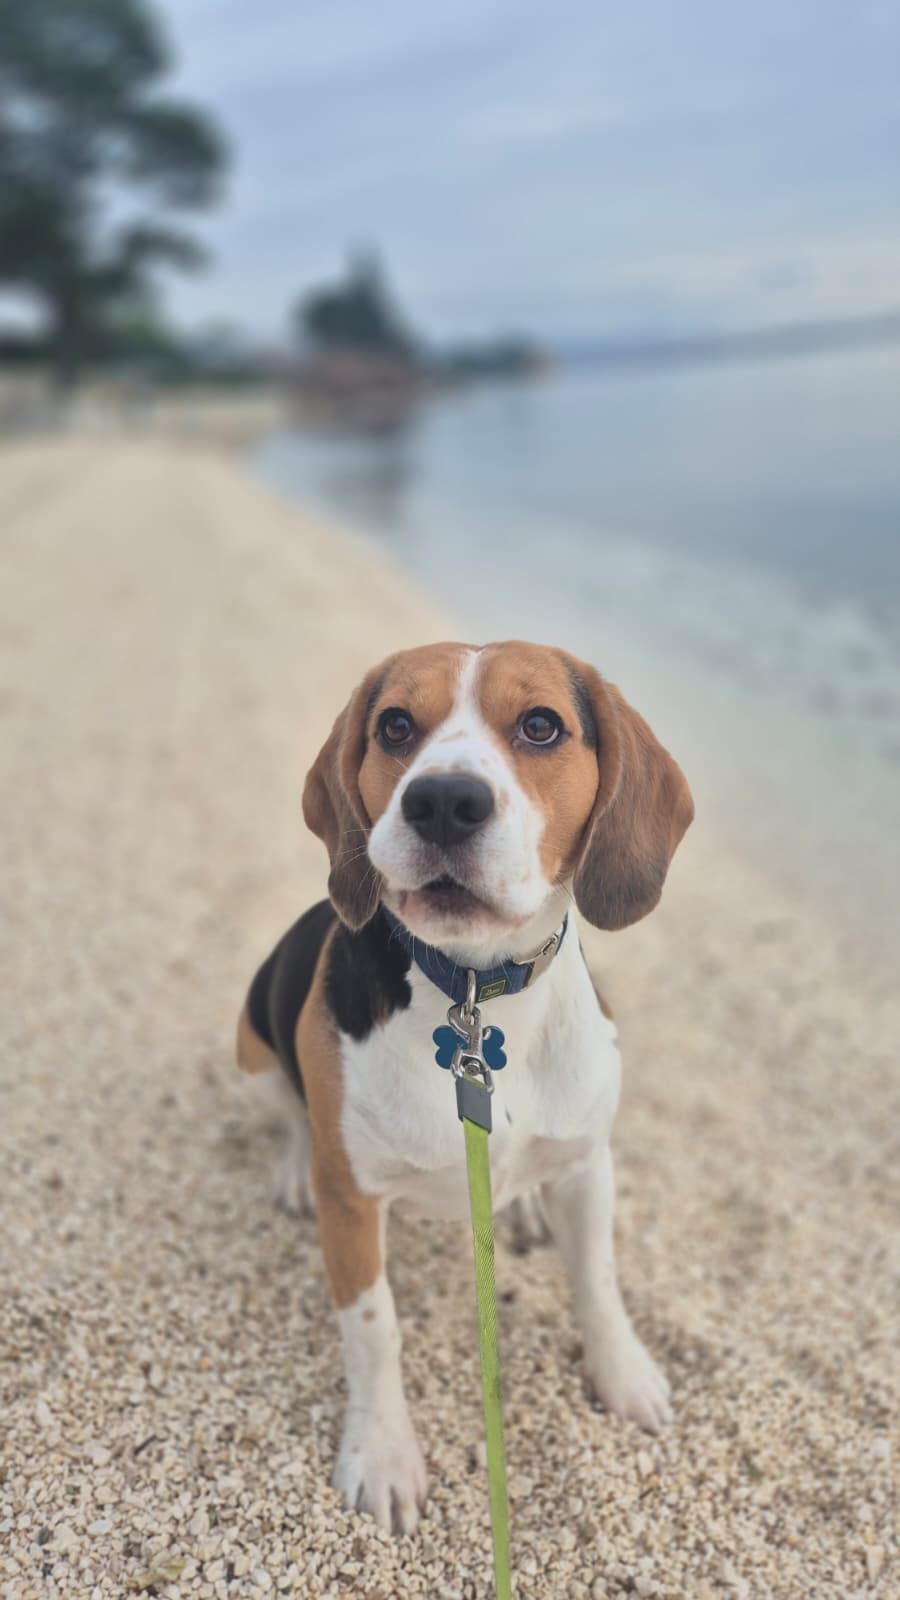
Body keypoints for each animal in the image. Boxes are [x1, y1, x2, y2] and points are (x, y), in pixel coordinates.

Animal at [237, 639, 693, 1533]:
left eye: (542, 725)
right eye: (394, 726)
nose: (444, 801)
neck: (478, 994)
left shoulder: (589, 1163)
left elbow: (599, 1281)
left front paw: (623, 1374)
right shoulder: (355, 1206)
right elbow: (373, 1330)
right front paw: (383, 1454)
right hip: (251, 1045)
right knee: (291, 1118)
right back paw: (295, 1169)